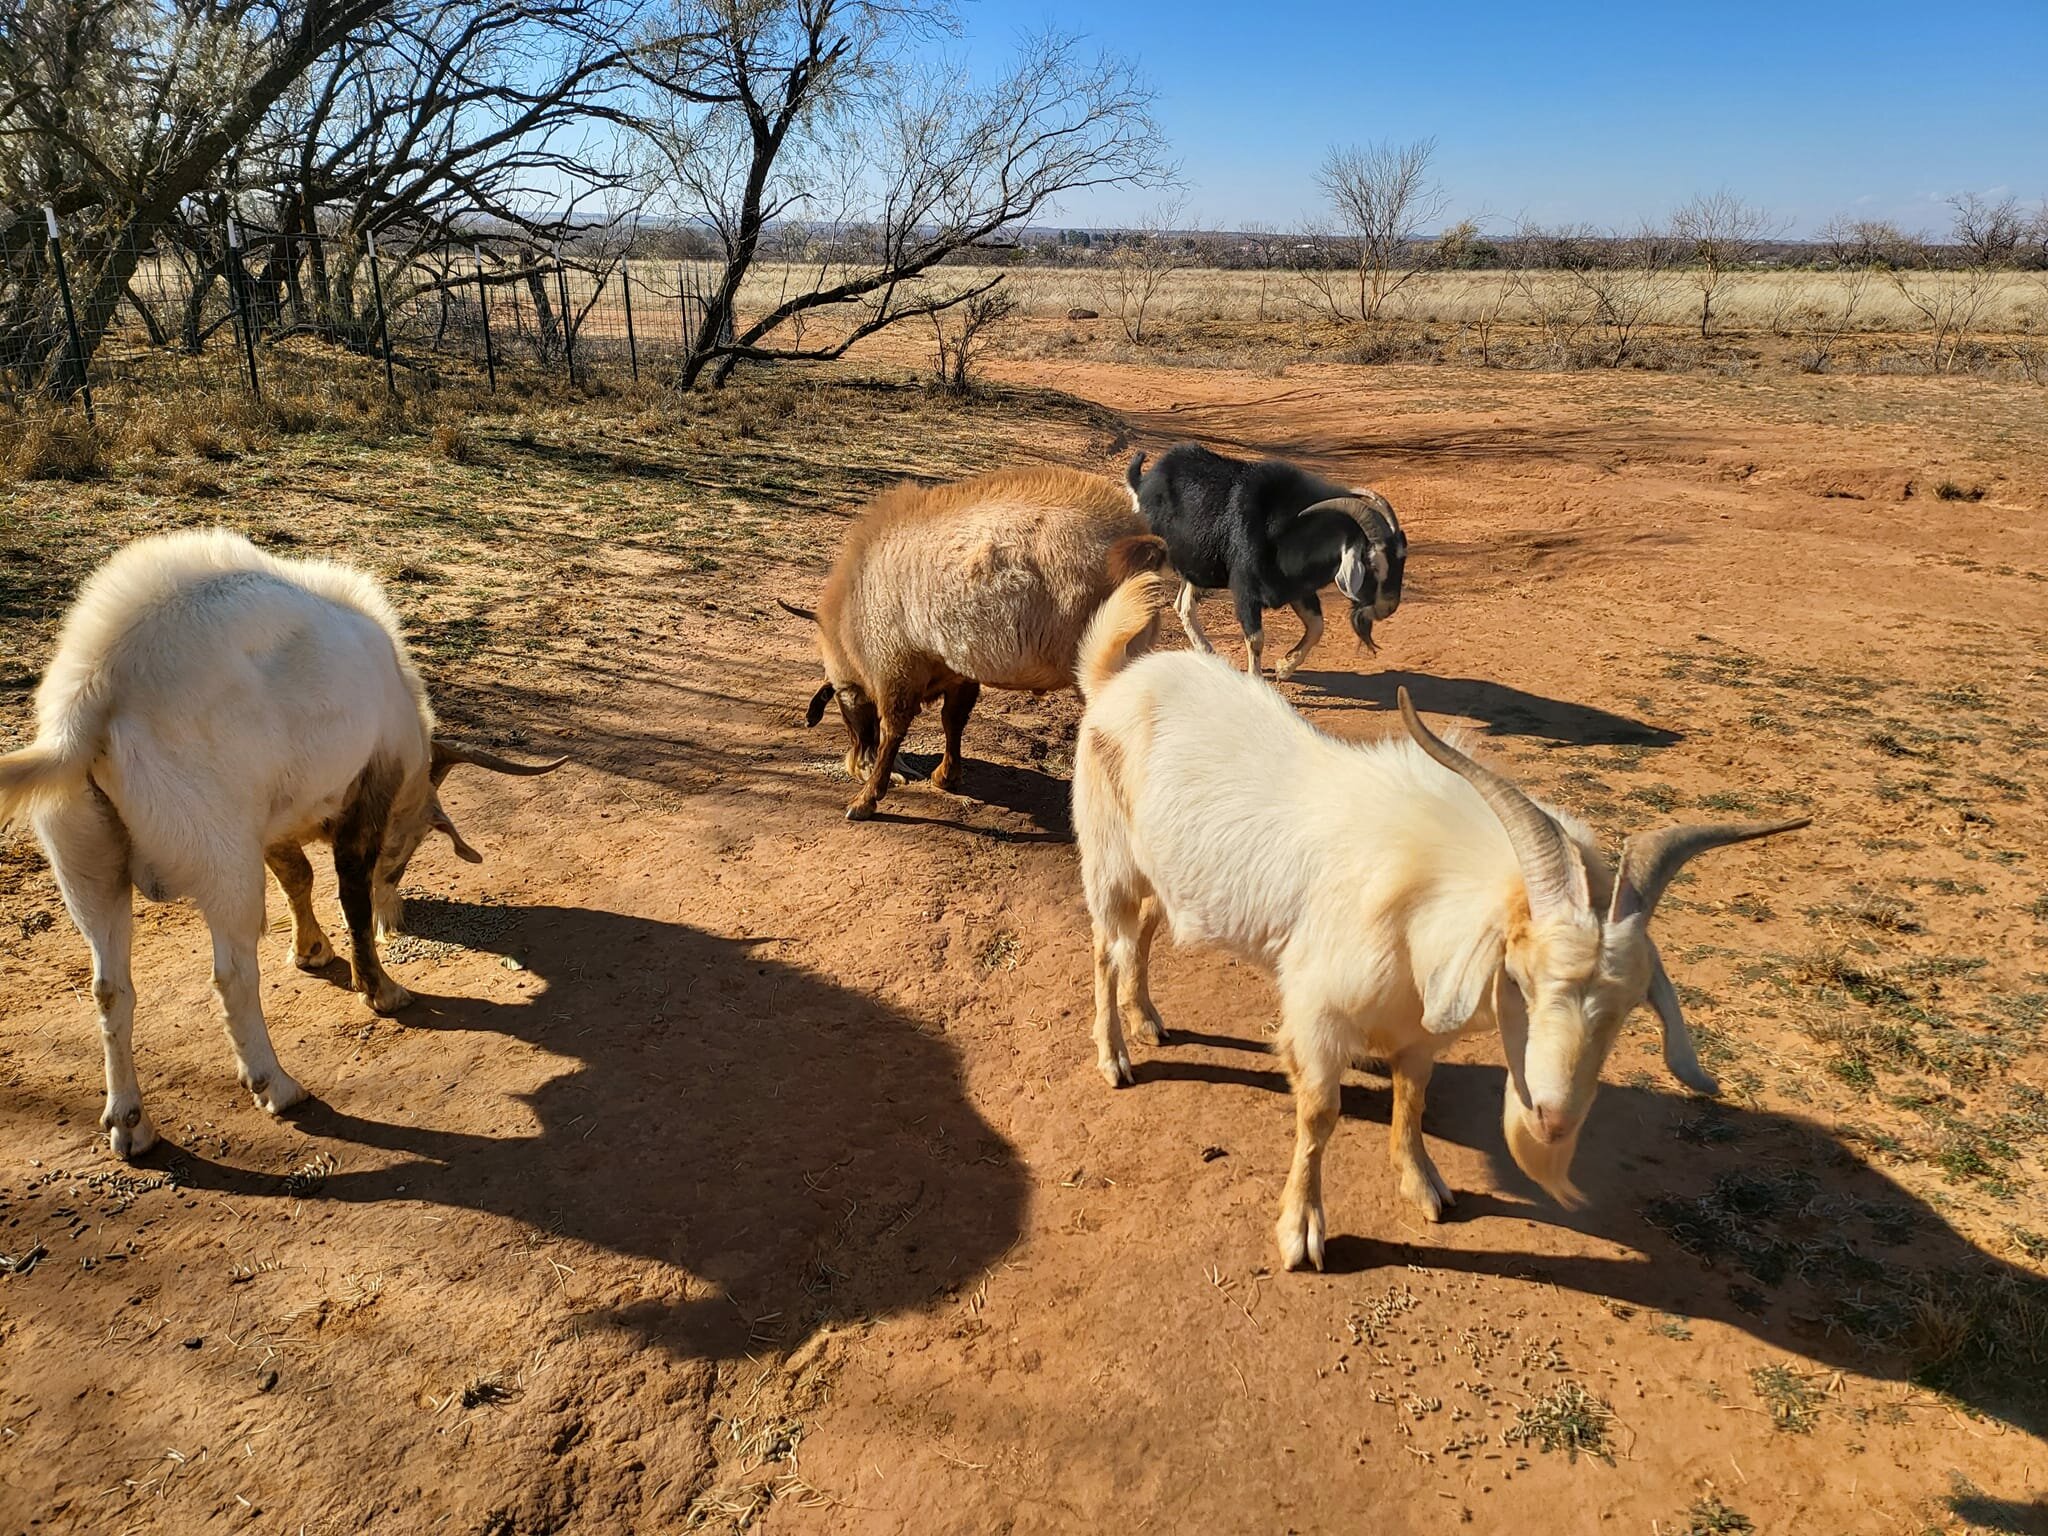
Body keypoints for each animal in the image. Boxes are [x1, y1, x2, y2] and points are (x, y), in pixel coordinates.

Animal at [0, 529, 565, 1160]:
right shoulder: (367, 790)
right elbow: (348, 888)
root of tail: (90, 702)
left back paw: (131, 1125)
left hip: (88, 866)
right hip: (223, 859)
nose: (399, 918)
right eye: (410, 844)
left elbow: (297, 873)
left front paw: (312, 951)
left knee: (109, 986)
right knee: (232, 974)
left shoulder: (270, 819)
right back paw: (277, 1084)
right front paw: (381, 990)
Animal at [788, 466, 1166, 820]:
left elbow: (893, 728)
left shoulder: (896, 665)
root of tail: (1135, 536)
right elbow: (953, 720)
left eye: (841, 702)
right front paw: (946, 776)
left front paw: (867, 798)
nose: (856, 763)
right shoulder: (957, 670)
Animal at [1071, 574, 1805, 1270]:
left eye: (1629, 1009)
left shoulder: (1419, 1027)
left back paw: (1149, 1019)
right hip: (1108, 862)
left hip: (1161, 876)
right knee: (1107, 949)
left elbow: (1413, 1097)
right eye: (1523, 982)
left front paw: (1424, 1185)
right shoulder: (1318, 1011)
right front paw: (1301, 1231)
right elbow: (1319, 1116)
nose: (1555, 1119)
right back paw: (1116, 1055)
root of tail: (1113, 680)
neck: (1424, 900)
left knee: (1143, 932)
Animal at [1126, 443, 1406, 679]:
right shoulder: (1245, 590)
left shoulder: (1297, 588)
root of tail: (1143, 482)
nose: (1388, 607)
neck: (1287, 530)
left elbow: (1317, 626)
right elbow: (1256, 639)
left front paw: (1284, 667)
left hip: (1195, 566)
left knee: (1183, 604)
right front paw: (1257, 679)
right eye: (1372, 563)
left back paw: (1208, 653)